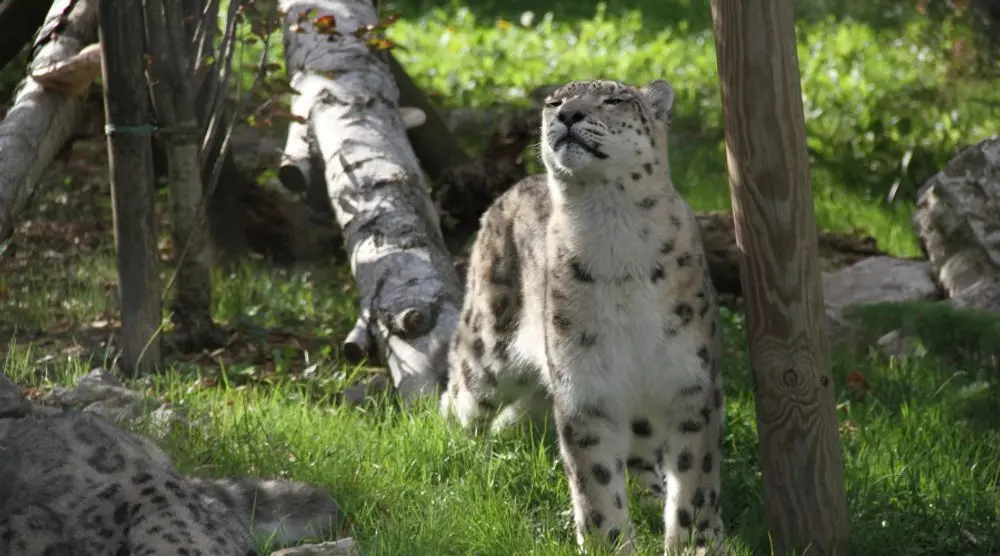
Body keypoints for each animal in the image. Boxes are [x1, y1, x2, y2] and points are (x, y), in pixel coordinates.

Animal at [440, 78, 725, 555]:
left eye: (615, 99)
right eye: (554, 102)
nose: (567, 115)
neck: (612, 231)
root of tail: (507, 191)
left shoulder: (690, 384)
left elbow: (694, 481)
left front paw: (693, 543)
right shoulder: (586, 390)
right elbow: (596, 484)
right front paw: (609, 541)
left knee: (641, 450)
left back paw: (653, 496)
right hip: (487, 347)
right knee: (459, 391)